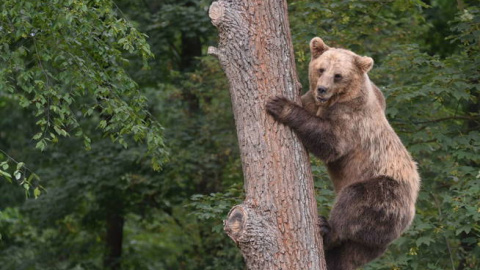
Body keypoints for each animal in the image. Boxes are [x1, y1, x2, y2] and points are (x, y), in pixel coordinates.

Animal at [266, 37, 420, 270]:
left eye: (338, 75)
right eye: (321, 69)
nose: (322, 89)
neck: (337, 99)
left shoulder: (351, 119)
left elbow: (331, 143)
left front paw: (279, 104)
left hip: (387, 193)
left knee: (354, 202)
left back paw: (326, 228)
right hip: (369, 244)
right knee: (348, 253)